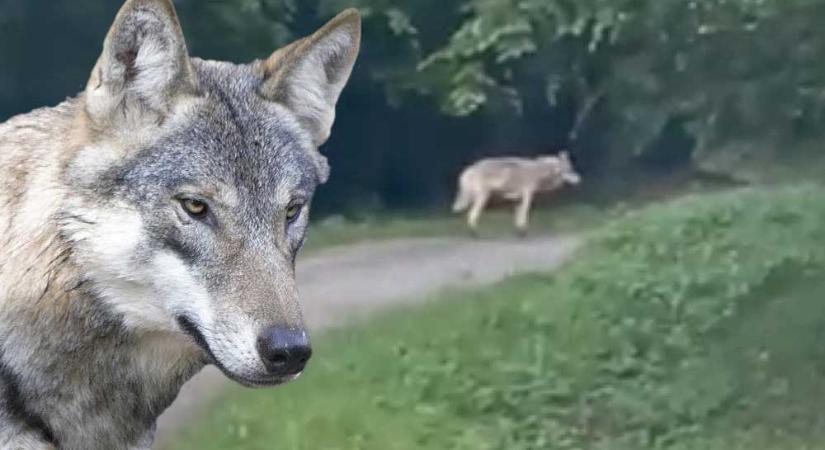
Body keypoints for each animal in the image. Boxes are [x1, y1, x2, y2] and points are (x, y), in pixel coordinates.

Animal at [450, 152, 580, 236]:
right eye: (569, 170)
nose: (579, 179)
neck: (539, 171)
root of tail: (467, 171)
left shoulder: (517, 198)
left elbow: (518, 215)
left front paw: (519, 231)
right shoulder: (528, 195)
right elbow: (524, 213)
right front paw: (523, 232)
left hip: (473, 199)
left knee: (467, 214)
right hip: (482, 198)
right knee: (471, 214)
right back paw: (475, 233)